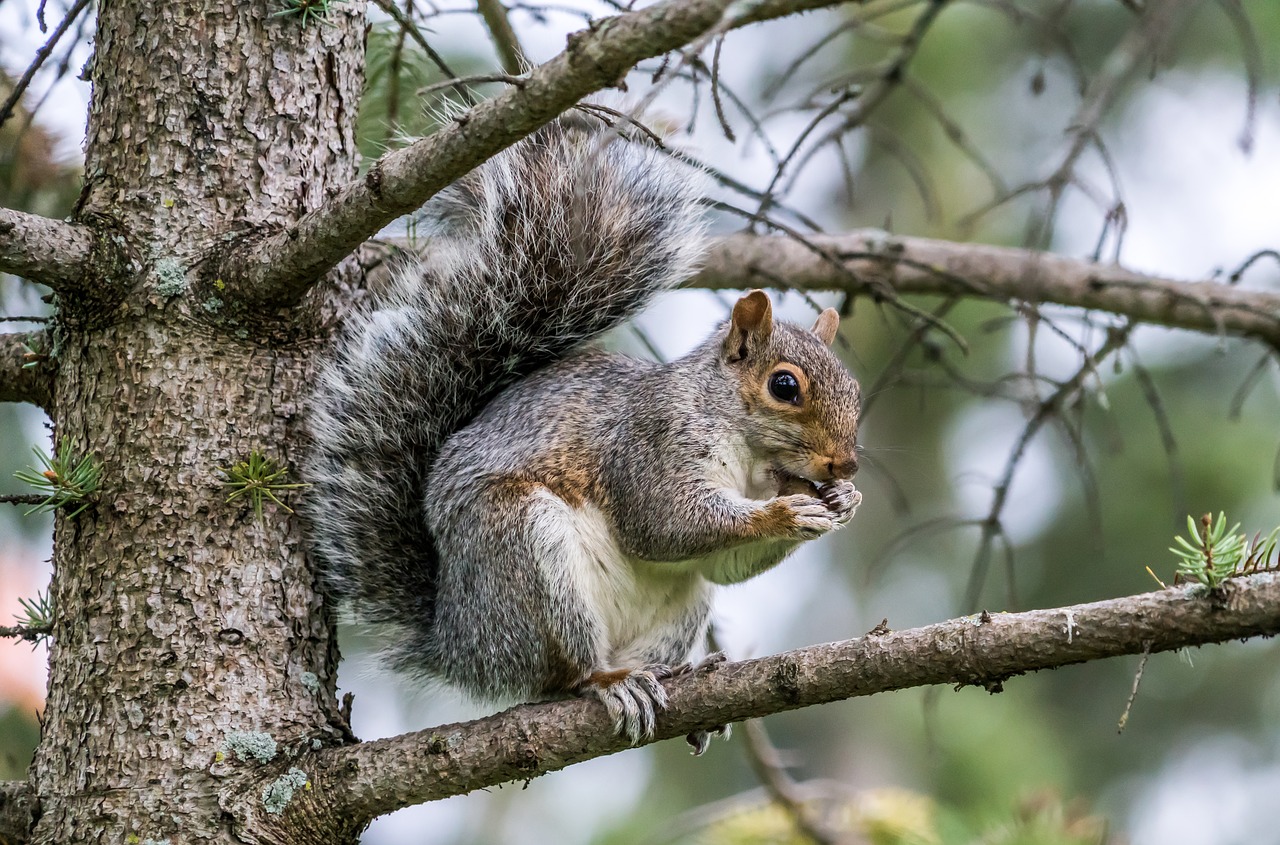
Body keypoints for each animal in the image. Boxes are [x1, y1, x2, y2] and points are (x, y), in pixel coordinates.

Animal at [302, 113, 860, 752]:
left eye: (854, 388)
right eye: (784, 386)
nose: (845, 465)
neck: (749, 455)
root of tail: (458, 643)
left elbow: (724, 562)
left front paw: (842, 501)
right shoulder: (650, 442)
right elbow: (665, 523)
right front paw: (787, 512)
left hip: (679, 604)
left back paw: (676, 674)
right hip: (524, 553)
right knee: (560, 675)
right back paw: (606, 681)